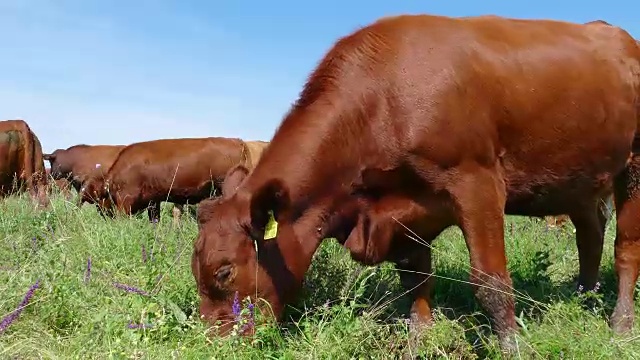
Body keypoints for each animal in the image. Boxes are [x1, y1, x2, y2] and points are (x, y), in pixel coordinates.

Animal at [80, 138, 270, 222]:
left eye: (98, 201)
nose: (104, 216)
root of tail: (238, 141)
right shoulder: (153, 201)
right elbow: (154, 219)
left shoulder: (125, 202)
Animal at [192, 14, 640, 354]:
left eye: (224, 272)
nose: (211, 345)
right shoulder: (404, 211)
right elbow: (415, 282)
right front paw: (419, 343)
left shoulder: (477, 183)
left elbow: (491, 283)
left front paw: (511, 349)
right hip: (580, 179)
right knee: (590, 233)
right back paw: (583, 297)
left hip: (632, 168)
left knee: (625, 250)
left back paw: (619, 324)